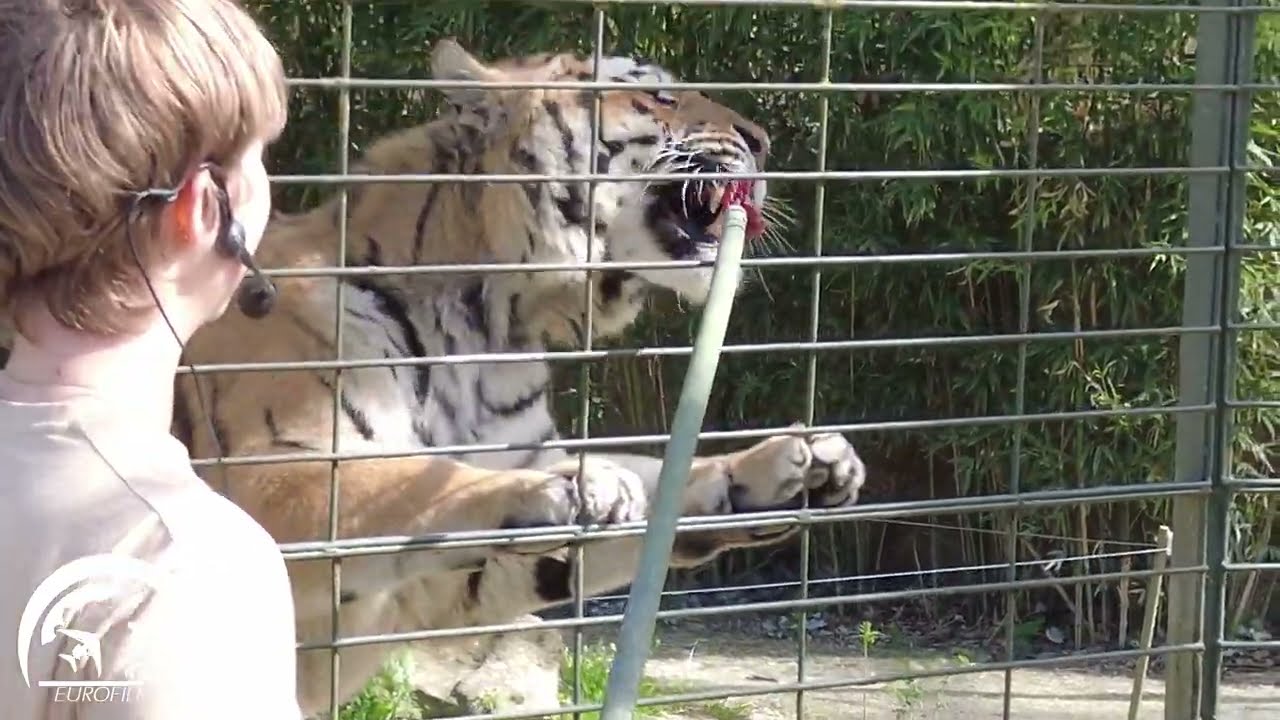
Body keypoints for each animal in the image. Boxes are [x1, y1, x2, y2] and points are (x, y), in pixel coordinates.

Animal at [27, 40, 871, 716]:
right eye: (658, 94)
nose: (764, 139)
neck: (494, 325)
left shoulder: (439, 584)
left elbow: (655, 488)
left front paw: (789, 467)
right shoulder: (279, 476)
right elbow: (415, 484)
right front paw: (570, 486)